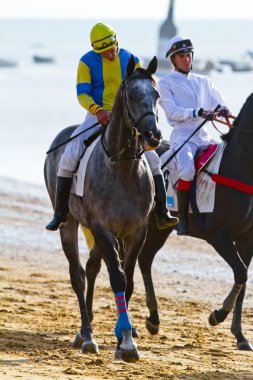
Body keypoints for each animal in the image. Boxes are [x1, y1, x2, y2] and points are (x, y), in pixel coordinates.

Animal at [44, 56, 162, 362]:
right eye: (131, 96)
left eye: (157, 94)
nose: (153, 135)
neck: (122, 167)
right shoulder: (103, 227)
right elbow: (117, 279)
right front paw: (127, 343)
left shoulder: (136, 231)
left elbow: (128, 280)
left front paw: (123, 339)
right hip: (71, 223)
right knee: (78, 274)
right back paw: (87, 336)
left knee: (92, 267)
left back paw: (85, 332)